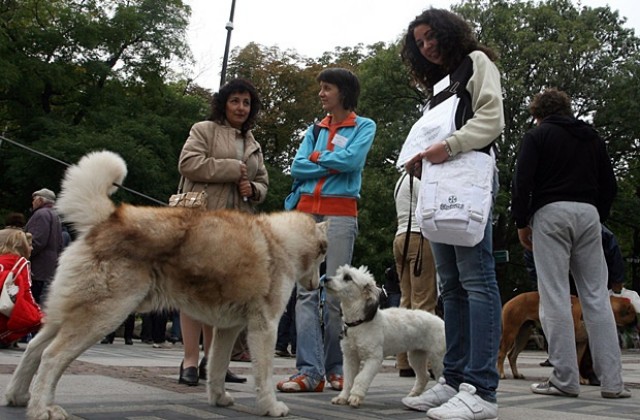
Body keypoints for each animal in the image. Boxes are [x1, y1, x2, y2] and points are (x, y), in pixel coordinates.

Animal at [6, 152, 330, 420]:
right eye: (323, 254)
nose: (318, 285)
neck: (282, 241)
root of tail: (108, 219)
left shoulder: (228, 329)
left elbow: (216, 368)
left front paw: (219, 398)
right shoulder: (264, 328)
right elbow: (263, 376)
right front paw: (271, 407)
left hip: (67, 314)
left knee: (34, 348)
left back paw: (19, 396)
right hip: (103, 317)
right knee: (51, 357)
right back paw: (42, 408)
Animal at [324, 266, 444, 406]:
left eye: (347, 277)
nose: (325, 279)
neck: (360, 322)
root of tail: (442, 322)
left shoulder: (374, 358)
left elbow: (360, 378)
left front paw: (355, 397)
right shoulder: (350, 358)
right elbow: (348, 380)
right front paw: (343, 397)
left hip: (438, 359)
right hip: (416, 356)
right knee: (424, 376)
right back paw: (414, 395)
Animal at [498, 290, 636, 382]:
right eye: (633, 313)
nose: (637, 321)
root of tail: (510, 301)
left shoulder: (582, 343)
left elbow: (578, 362)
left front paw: (580, 379)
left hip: (523, 336)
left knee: (512, 355)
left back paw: (516, 374)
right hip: (510, 332)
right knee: (502, 353)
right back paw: (501, 373)